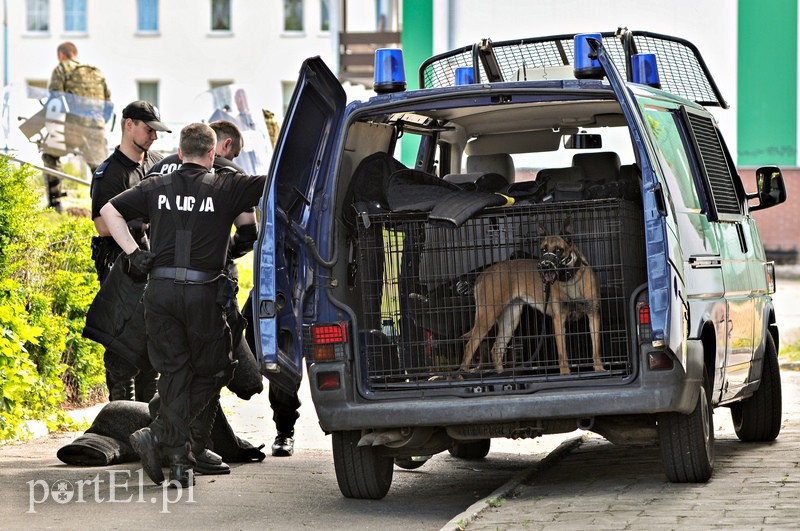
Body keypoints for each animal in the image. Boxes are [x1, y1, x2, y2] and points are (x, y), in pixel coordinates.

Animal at [460, 218, 604, 376]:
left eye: (558, 250)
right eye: (543, 250)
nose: (543, 266)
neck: (570, 279)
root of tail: (483, 274)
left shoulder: (593, 314)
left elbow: (596, 348)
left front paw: (599, 369)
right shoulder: (559, 318)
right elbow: (562, 352)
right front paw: (565, 373)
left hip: (510, 319)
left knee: (496, 349)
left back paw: (501, 374)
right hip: (487, 316)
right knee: (470, 346)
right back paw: (462, 375)